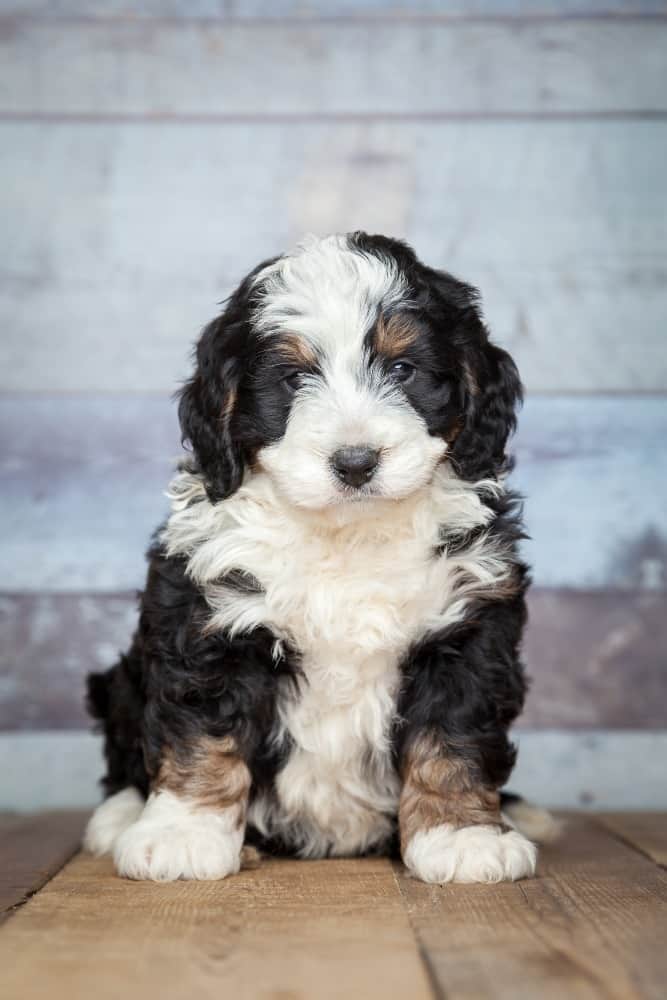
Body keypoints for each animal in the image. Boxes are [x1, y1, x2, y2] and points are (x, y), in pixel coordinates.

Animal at [86, 232, 552, 884]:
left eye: (402, 369)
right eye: (292, 378)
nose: (355, 462)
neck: (345, 535)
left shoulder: (468, 625)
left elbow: (454, 734)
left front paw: (463, 836)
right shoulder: (207, 617)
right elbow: (201, 729)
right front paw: (182, 834)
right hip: (121, 681)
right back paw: (120, 818)